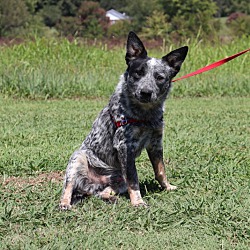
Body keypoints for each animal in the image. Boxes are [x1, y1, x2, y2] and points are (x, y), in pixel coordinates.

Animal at [59, 31, 188, 209]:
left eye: (160, 77)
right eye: (138, 73)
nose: (146, 92)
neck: (145, 115)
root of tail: (89, 186)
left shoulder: (156, 142)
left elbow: (160, 170)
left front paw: (167, 187)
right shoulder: (125, 146)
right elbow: (134, 180)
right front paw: (138, 202)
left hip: (118, 178)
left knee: (103, 193)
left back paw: (112, 198)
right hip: (78, 159)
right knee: (68, 187)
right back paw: (65, 203)